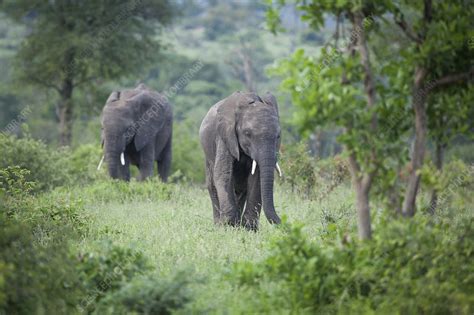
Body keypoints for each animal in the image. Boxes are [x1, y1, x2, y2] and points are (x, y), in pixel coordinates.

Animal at [199, 90, 284, 231]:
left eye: (278, 136)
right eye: (247, 133)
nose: (283, 222)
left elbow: (256, 178)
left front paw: (249, 229)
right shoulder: (224, 136)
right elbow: (223, 174)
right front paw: (228, 226)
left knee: (241, 189)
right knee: (212, 185)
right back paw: (219, 225)